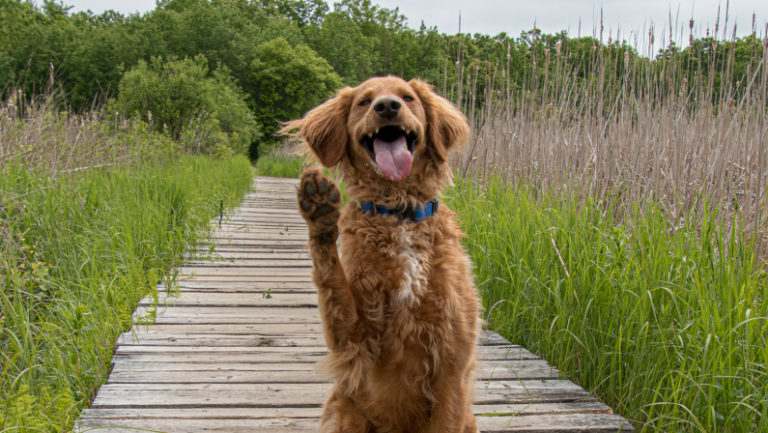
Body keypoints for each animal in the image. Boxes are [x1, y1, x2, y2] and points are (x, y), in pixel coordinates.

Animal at [282, 77, 480, 432]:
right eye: (364, 101)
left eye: (408, 97)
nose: (387, 106)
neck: (399, 211)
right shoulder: (354, 339)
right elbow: (330, 278)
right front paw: (320, 213)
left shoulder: (452, 366)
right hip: (343, 407)